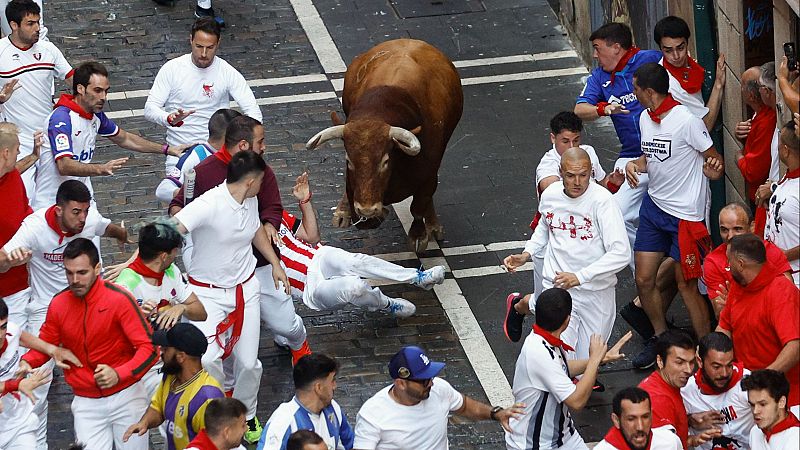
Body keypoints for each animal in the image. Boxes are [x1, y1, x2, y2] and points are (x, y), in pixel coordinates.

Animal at [306, 39, 462, 253]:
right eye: (348, 161)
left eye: (385, 161)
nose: (367, 209)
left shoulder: (430, 169)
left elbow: (419, 205)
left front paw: (419, 234)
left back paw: (433, 226)